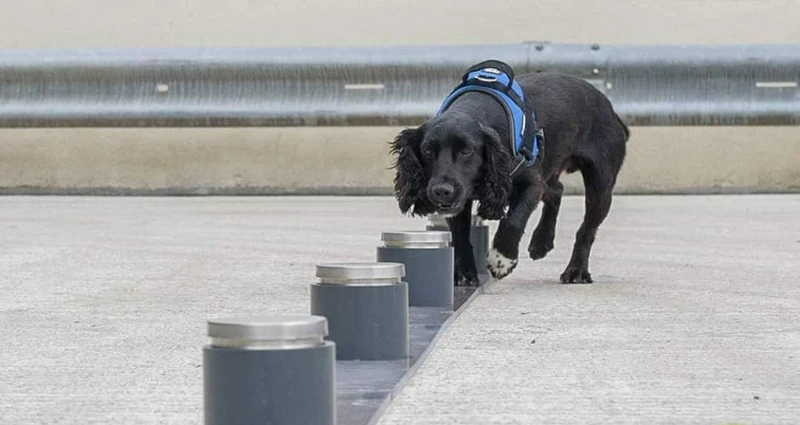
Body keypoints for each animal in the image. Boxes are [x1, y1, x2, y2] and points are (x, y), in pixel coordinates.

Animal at [389, 60, 628, 286]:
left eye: (467, 151)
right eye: (427, 151)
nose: (441, 191)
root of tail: (610, 108)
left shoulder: (531, 183)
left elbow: (513, 220)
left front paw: (501, 260)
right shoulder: (460, 200)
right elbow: (460, 234)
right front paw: (464, 273)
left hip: (600, 186)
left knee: (586, 229)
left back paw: (576, 270)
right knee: (556, 191)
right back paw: (541, 242)